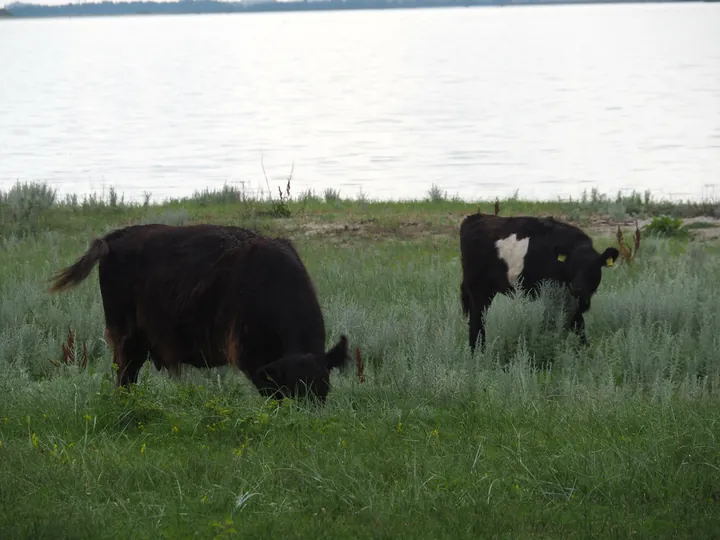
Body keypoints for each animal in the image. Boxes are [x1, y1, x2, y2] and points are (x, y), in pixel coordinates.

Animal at [47, 221, 348, 402]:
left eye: (323, 391)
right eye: (294, 391)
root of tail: (113, 239)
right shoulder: (252, 360)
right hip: (126, 338)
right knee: (125, 376)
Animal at [462, 213, 620, 352]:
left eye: (592, 268)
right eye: (572, 266)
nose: (577, 287)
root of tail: (475, 217)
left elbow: (578, 326)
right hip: (478, 290)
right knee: (477, 322)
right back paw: (478, 354)